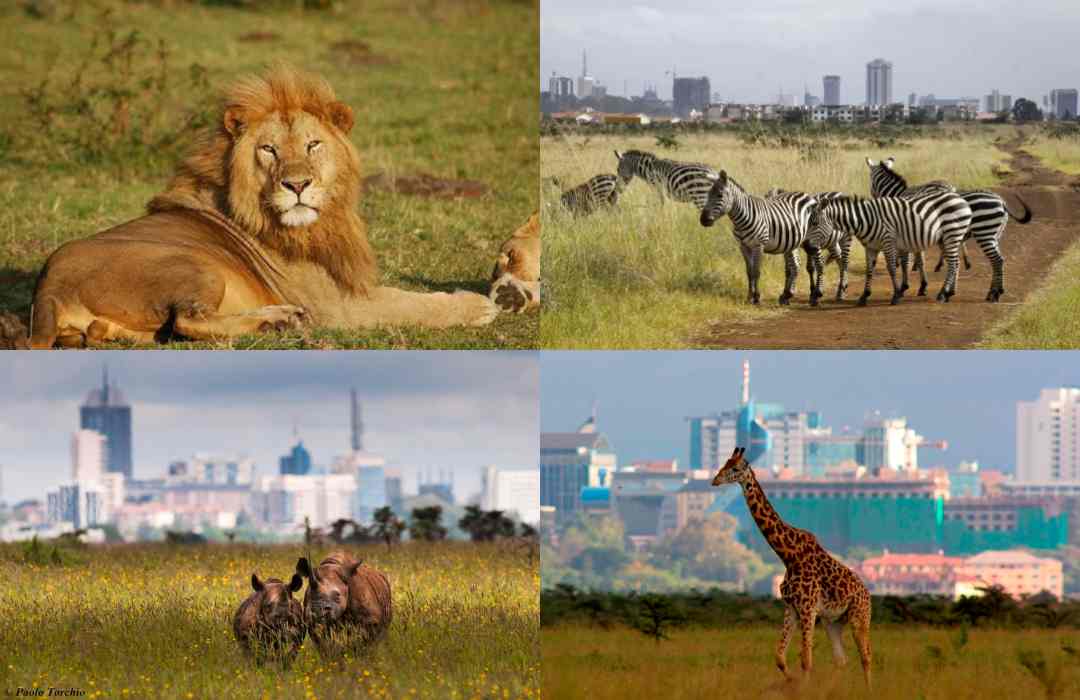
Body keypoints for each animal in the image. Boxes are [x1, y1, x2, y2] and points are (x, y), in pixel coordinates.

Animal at [27, 64, 494, 347]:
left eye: (312, 144)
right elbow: (413, 302)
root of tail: (48, 286)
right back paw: (280, 319)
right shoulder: (337, 306)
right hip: (194, 266)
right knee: (187, 319)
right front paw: (477, 305)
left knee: (136, 331)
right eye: (268, 150)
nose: (297, 184)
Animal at [699, 170, 816, 304]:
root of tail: (804, 193)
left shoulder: (758, 245)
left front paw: (756, 297)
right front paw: (749, 296)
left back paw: (814, 295)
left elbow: (756, 271)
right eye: (708, 194)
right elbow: (749, 272)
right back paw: (786, 295)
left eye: (719, 195)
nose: (703, 220)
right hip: (792, 242)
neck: (741, 219)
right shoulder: (743, 246)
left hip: (811, 238)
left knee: (812, 265)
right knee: (794, 265)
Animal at [712, 445, 872, 687]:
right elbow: (780, 657)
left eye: (736, 468)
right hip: (833, 622)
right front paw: (792, 682)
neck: (788, 556)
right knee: (841, 659)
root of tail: (869, 596)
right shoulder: (791, 608)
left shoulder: (808, 608)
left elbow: (806, 660)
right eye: (724, 463)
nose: (715, 480)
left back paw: (869, 689)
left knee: (866, 657)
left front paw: (802, 687)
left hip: (859, 617)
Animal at [807, 191, 976, 302]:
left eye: (814, 223)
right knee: (956, 263)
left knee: (953, 264)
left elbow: (892, 269)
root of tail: (960, 198)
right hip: (946, 238)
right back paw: (950, 292)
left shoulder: (888, 242)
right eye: (809, 223)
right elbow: (869, 270)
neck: (865, 220)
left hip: (952, 234)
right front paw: (864, 296)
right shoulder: (871, 247)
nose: (808, 247)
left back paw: (942, 294)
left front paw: (896, 295)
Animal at [864, 155, 1032, 300]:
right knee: (998, 261)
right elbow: (920, 260)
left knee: (996, 260)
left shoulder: (908, 233)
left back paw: (993, 294)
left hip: (984, 232)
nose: (872, 198)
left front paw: (909, 286)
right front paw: (923, 286)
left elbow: (909, 261)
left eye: (870, 182)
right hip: (995, 234)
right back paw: (995, 291)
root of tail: (1001, 202)